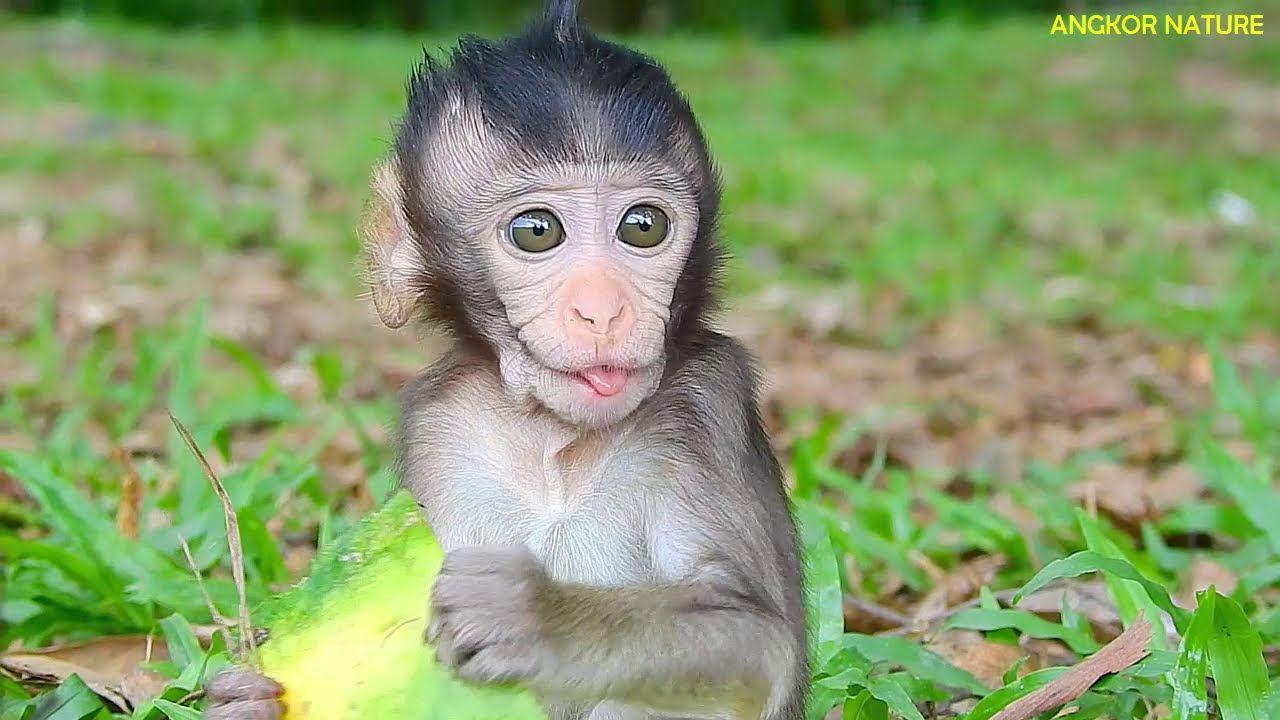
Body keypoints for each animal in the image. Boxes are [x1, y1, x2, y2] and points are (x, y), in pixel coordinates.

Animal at [202, 1, 809, 718]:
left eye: (643, 226)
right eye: (537, 231)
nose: (602, 311)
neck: (554, 441)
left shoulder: (707, 401)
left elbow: (758, 643)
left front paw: (538, 618)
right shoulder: (437, 422)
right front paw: (248, 700)